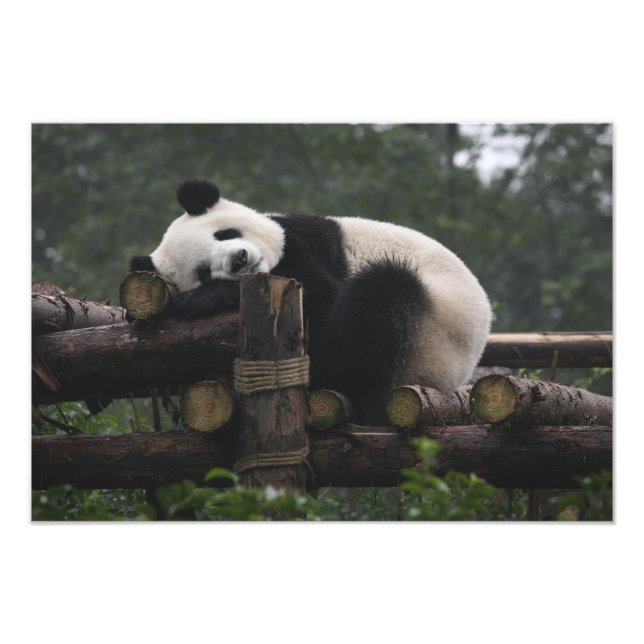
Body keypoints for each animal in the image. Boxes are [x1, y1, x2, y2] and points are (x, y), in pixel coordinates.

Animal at [130, 179, 492, 420]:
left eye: (225, 234)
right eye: (203, 271)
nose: (239, 260)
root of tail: (456, 375)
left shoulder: (303, 242)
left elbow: (323, 300)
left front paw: (203, 299)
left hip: (432, 332)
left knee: (381, 296)